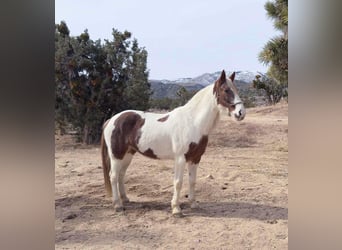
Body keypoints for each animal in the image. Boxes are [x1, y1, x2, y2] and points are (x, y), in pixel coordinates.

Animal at [100, 69, 244, 216]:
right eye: (226, 90)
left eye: (236, 89)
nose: (241, 113)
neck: (192, 122)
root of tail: (112, 120)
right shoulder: (180, 158)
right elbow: (178, 182)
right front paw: (176, 209)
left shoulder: (195, 158)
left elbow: (192, 181)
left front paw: (193, 204)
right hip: (116, 155)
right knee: (113, 176)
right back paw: (118, 205)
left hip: (128, 154)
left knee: (121, 175)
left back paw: (125, 199)